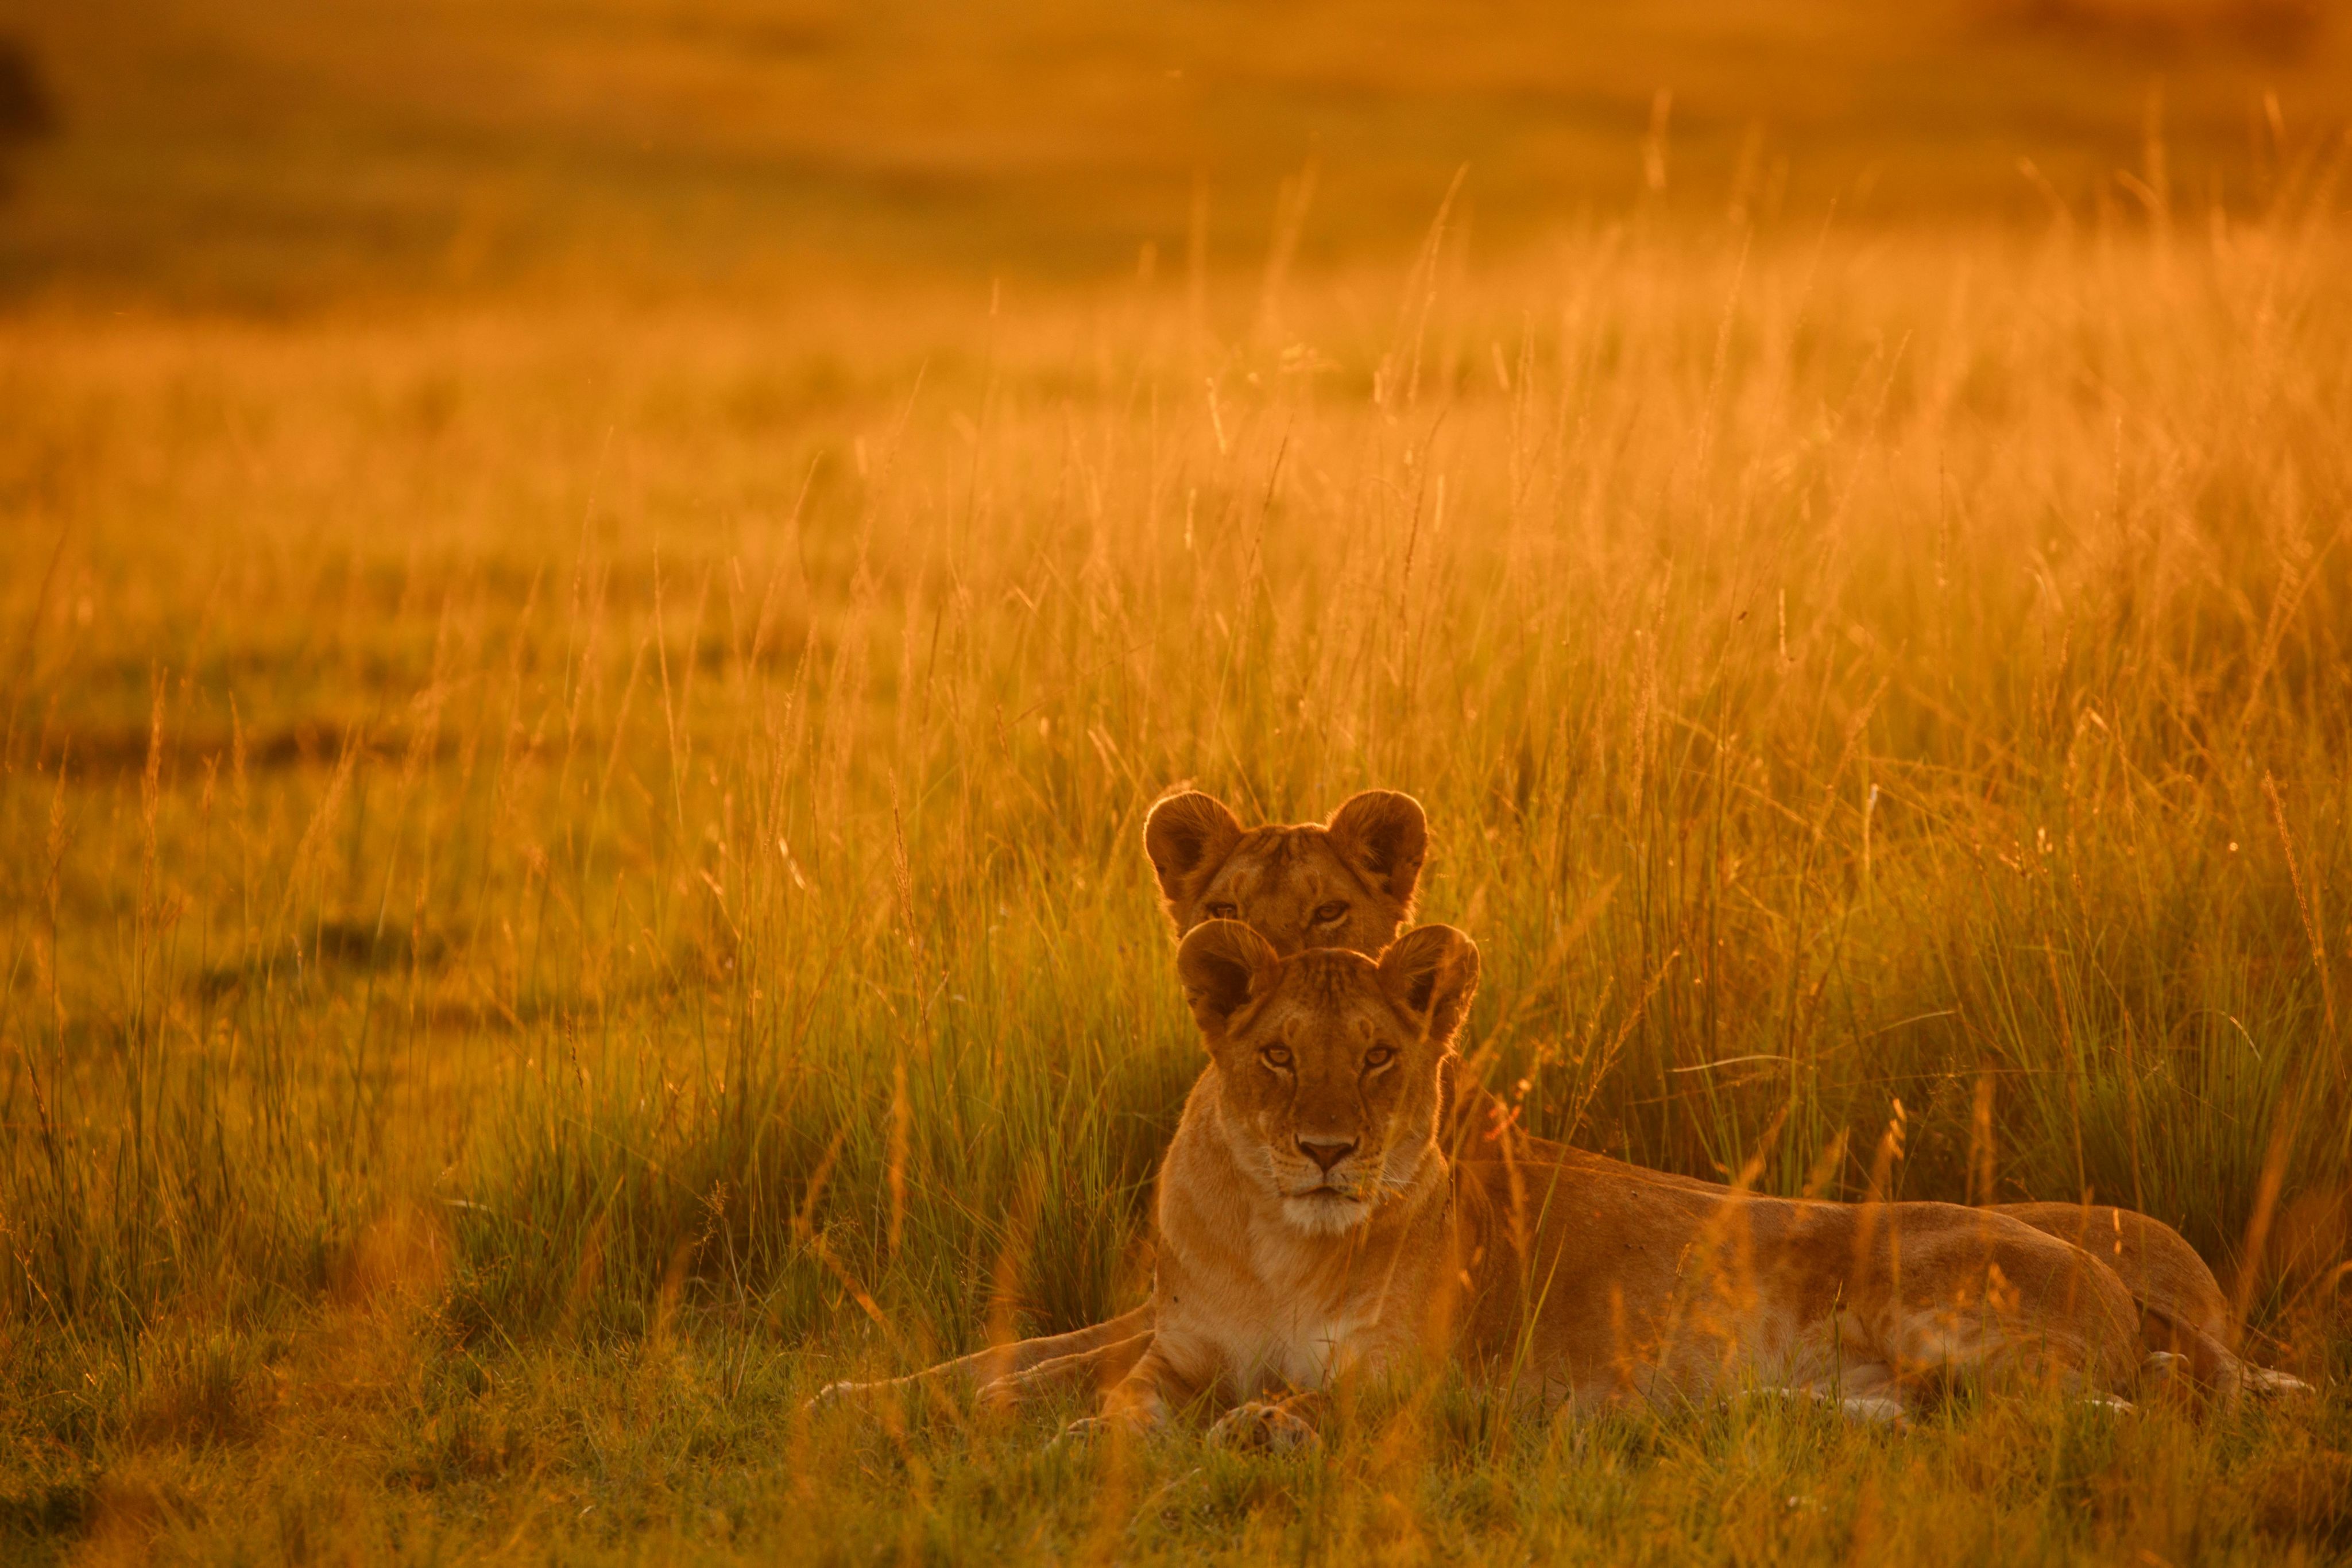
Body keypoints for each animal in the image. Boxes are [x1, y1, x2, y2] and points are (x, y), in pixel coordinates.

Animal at [1073, 921, 2169, 1442]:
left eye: (1379, 1056)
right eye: (1280, 1055)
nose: (1327, 1149)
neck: (1282, 1248)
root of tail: (2117, 1279)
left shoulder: (1411, 1380)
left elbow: (1304, 1396)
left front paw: (1257, 1425)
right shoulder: (1179, 1353)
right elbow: (1127, 1403)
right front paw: (1088, 1438)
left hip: (1918, 1295)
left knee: (2082, 1410)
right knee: (1915, 1412)